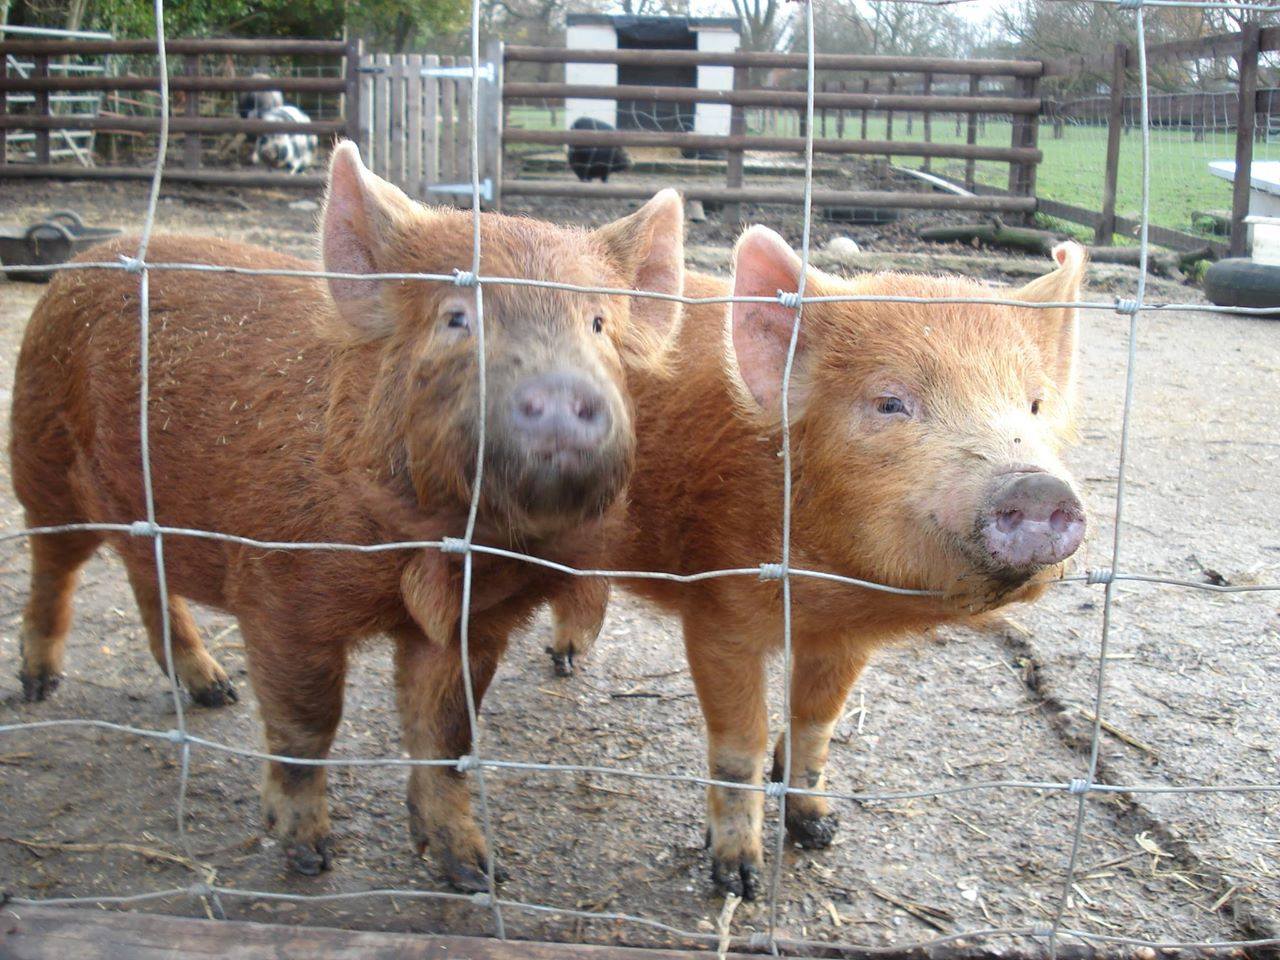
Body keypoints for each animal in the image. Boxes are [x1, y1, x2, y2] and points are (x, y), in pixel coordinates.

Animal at [9, 140, 685, 891]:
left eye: (597, 324)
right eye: (456, 317)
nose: (564, 391)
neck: (441, 545)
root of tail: (90, 256)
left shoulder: (473, 624)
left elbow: (447, 734)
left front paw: (475, 871)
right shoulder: (280, 590)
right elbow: (306, 725)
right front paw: (308, 857)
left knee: (143, 571)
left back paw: (213, 691)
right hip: (40, 445)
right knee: (53, 564)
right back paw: (39, 687)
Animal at [549, 227, 1088, 898]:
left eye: (1034, 405)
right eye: (890, 402)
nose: (1039, 488)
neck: (821, 596)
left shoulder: (844, 640)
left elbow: (817, 721)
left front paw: (821, 831)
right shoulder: (717, 608)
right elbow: (740, 741)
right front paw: (739, 881)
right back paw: (562, 663)